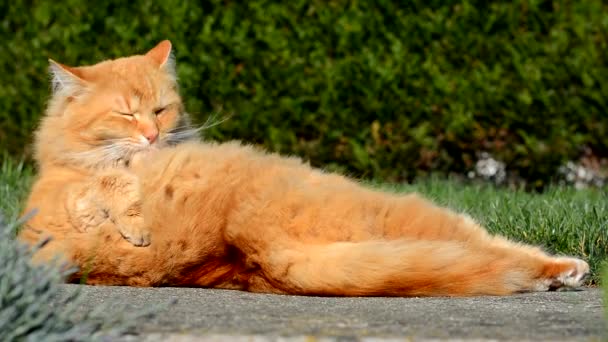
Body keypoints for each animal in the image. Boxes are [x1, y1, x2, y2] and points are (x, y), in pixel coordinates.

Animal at [19, 40, 588, 296]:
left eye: (160, 110)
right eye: (125, 113)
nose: (153, 137)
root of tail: (257, 249)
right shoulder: (72, 195)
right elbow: (110, 184)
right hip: (399, 210)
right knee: (494, 249)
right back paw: (564, 272)